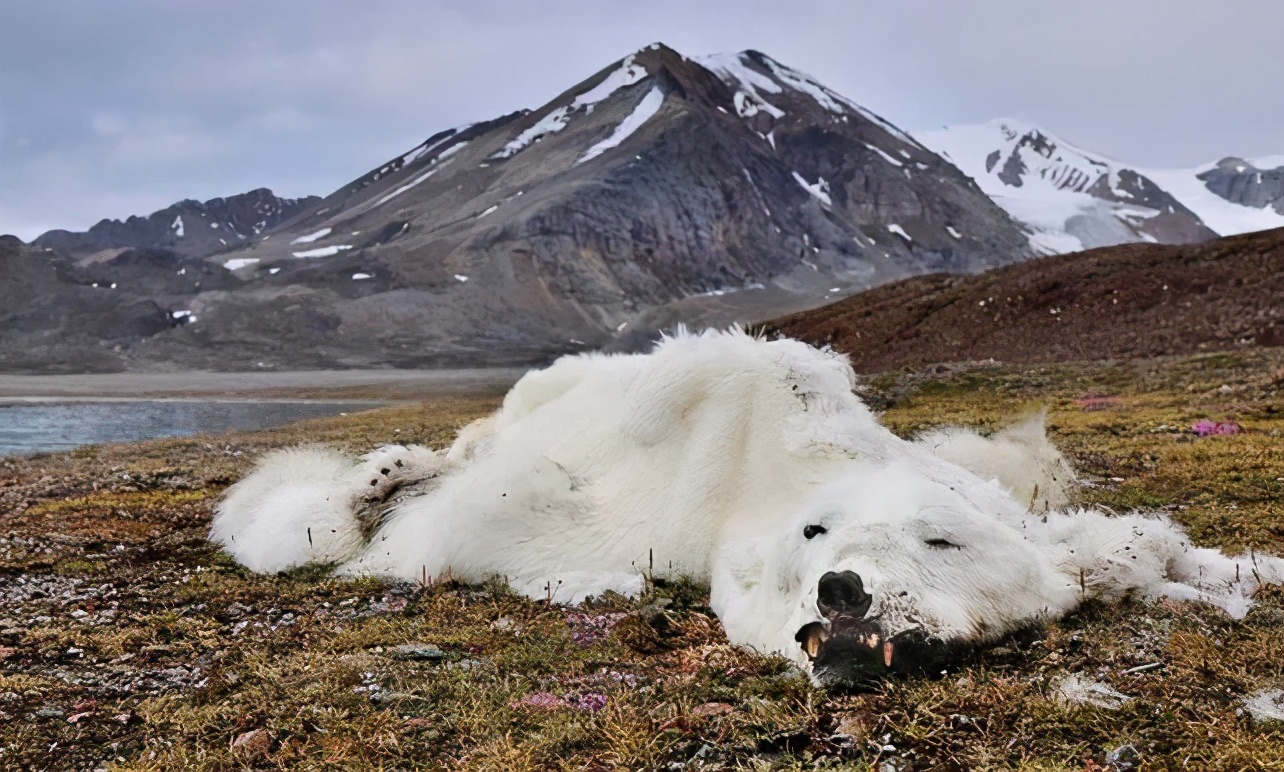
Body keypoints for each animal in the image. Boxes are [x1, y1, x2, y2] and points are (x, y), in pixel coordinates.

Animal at [213, 327, 1284, 683]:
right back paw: (384, 475)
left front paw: (1228, 573)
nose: (844, 589)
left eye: (942, 541)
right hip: (535, 393)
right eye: (815, 534)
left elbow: (1121, 546)